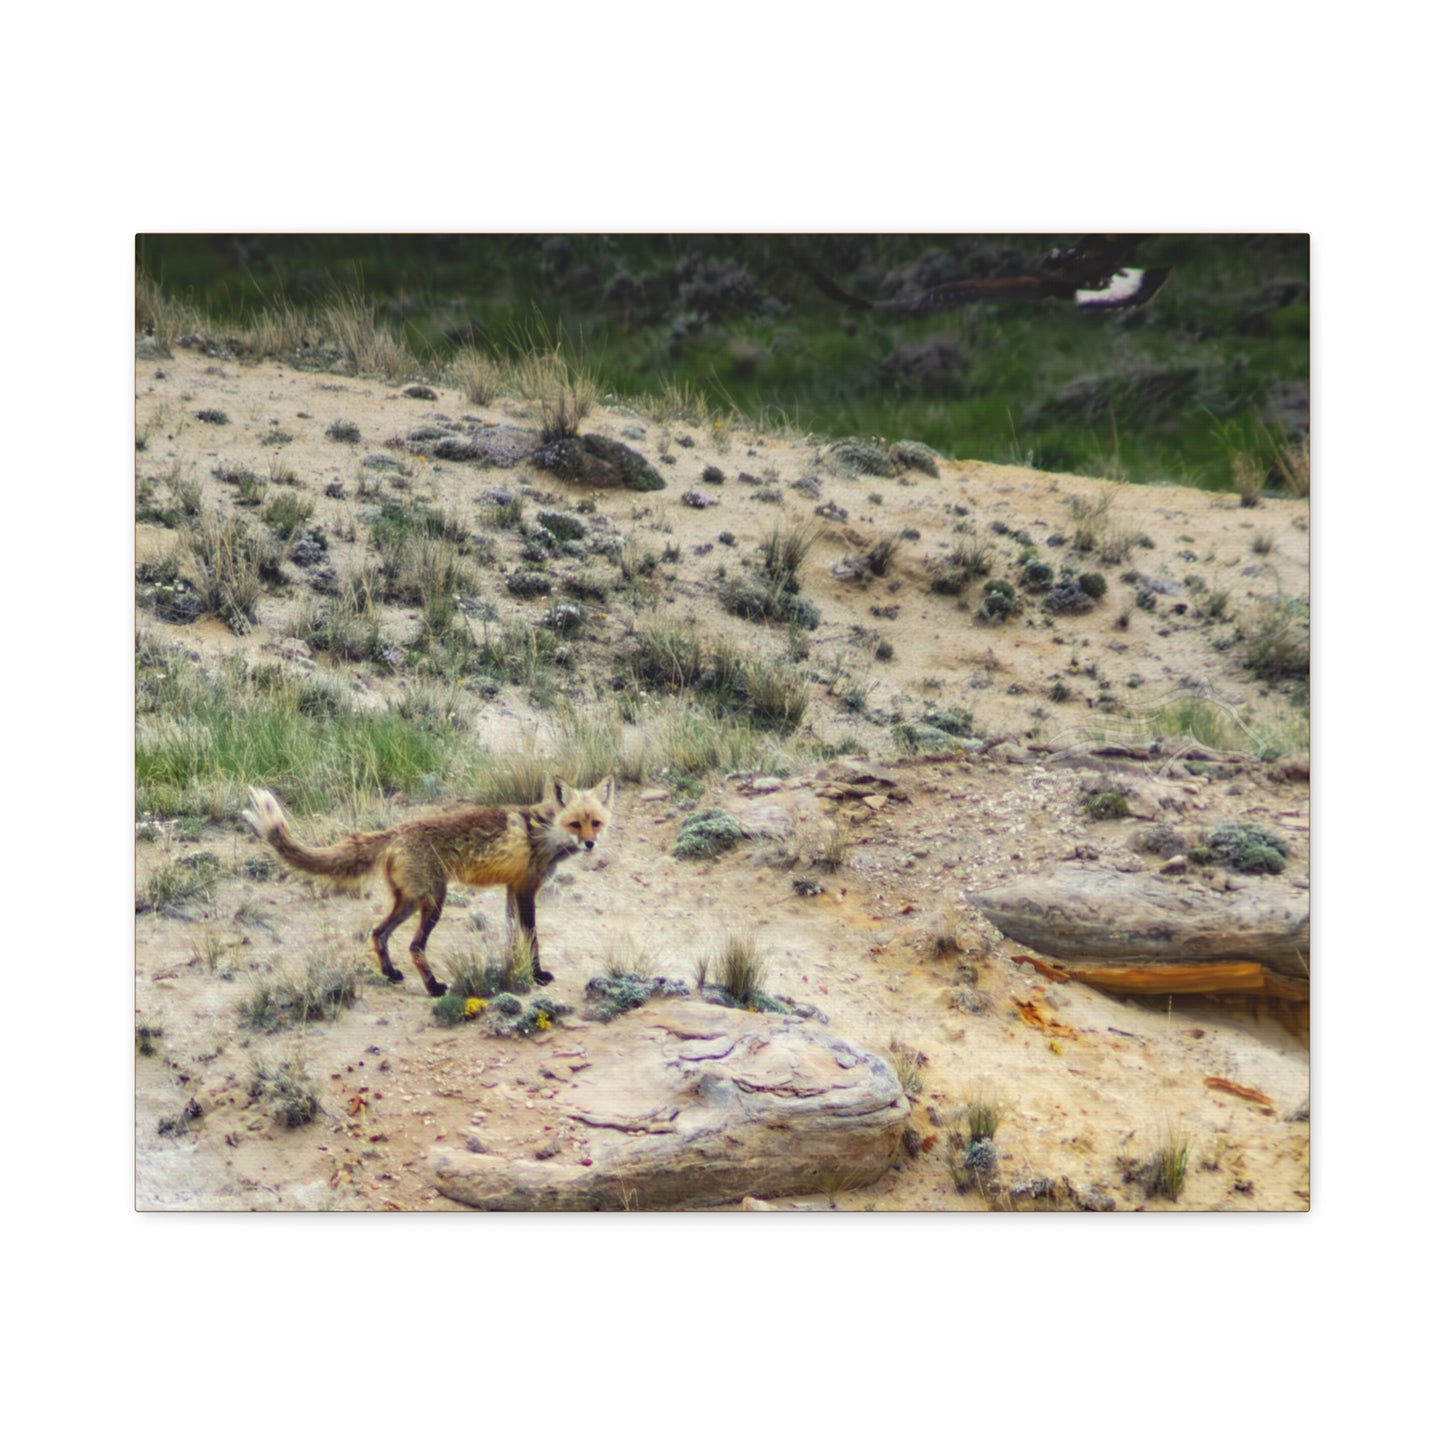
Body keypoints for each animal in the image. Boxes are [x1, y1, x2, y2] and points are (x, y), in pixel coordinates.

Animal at [242, 776, 613, 997]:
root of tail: (397, 831)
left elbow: (513, 937)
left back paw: (391, 974)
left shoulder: (512, 889)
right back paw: (433, 987)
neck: (545, 833)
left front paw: (514, 970)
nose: (590, 844)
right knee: (415, 946)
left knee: (379, 933)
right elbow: (531, 936)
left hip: (409, 902)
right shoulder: (525, 889)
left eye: (595, 822)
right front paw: (536, 975)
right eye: (575, 823)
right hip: (435, 902)